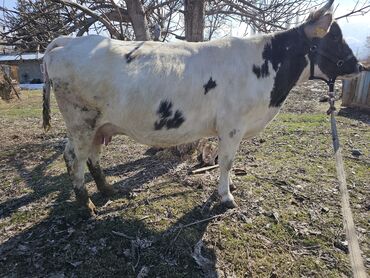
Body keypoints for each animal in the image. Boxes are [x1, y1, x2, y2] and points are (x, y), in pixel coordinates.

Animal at [41, 0, 368, 215]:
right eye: (335, 37)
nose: (359, 66)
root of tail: (66, 41)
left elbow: (227, 163)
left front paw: (227, 190)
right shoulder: (232, 127)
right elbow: (226, 162)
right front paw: (225, 197)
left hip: (97, 124)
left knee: (86, 155)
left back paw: (109, 190)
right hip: (81, 119)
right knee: (76, 157)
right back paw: (87, 205)